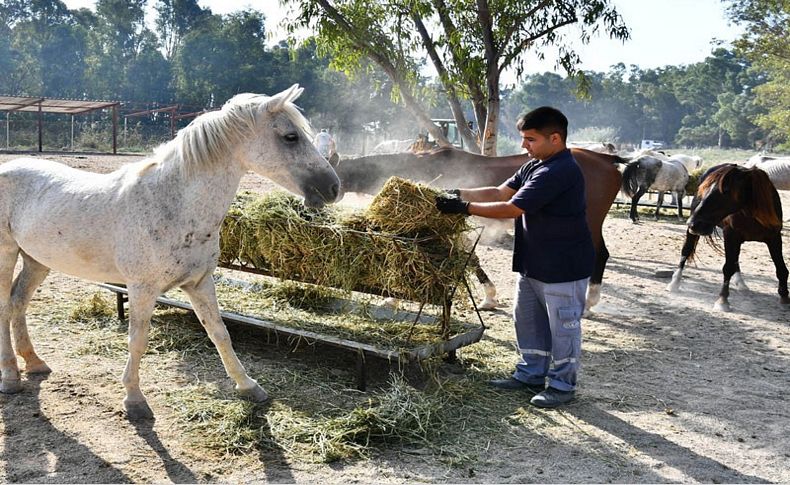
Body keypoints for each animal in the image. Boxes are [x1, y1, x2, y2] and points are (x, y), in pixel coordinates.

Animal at [0, 85, 340, 418]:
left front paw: (249, 387)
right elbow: (138, 340)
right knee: (5, 307)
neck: (172, 203)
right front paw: (134, 400)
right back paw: (11, 377)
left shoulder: (200, 283)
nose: (333, 187)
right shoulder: (142, 288)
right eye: (291, 137)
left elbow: (220, 333)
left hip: (36, 261)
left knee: (18, 303)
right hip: (7, 254)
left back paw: (34, 362)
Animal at [332, 146, 624, 310]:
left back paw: (588, 303)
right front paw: (490, 297)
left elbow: (469, 259)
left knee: (600, 254)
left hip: (589, 222)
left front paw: (393, 297)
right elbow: (471, 259)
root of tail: (605, 158)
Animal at [664, 163, 788, 310]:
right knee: (686, 251)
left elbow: (781, 268)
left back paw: (741, 283)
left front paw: (785, 296)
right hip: (696, 233)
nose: (692, 223)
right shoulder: (730, 236)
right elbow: (727, 268)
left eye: (726, 190)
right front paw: (722, 300)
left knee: (735, 260)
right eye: (705, 190)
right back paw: (674, 283)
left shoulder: (774, 238)